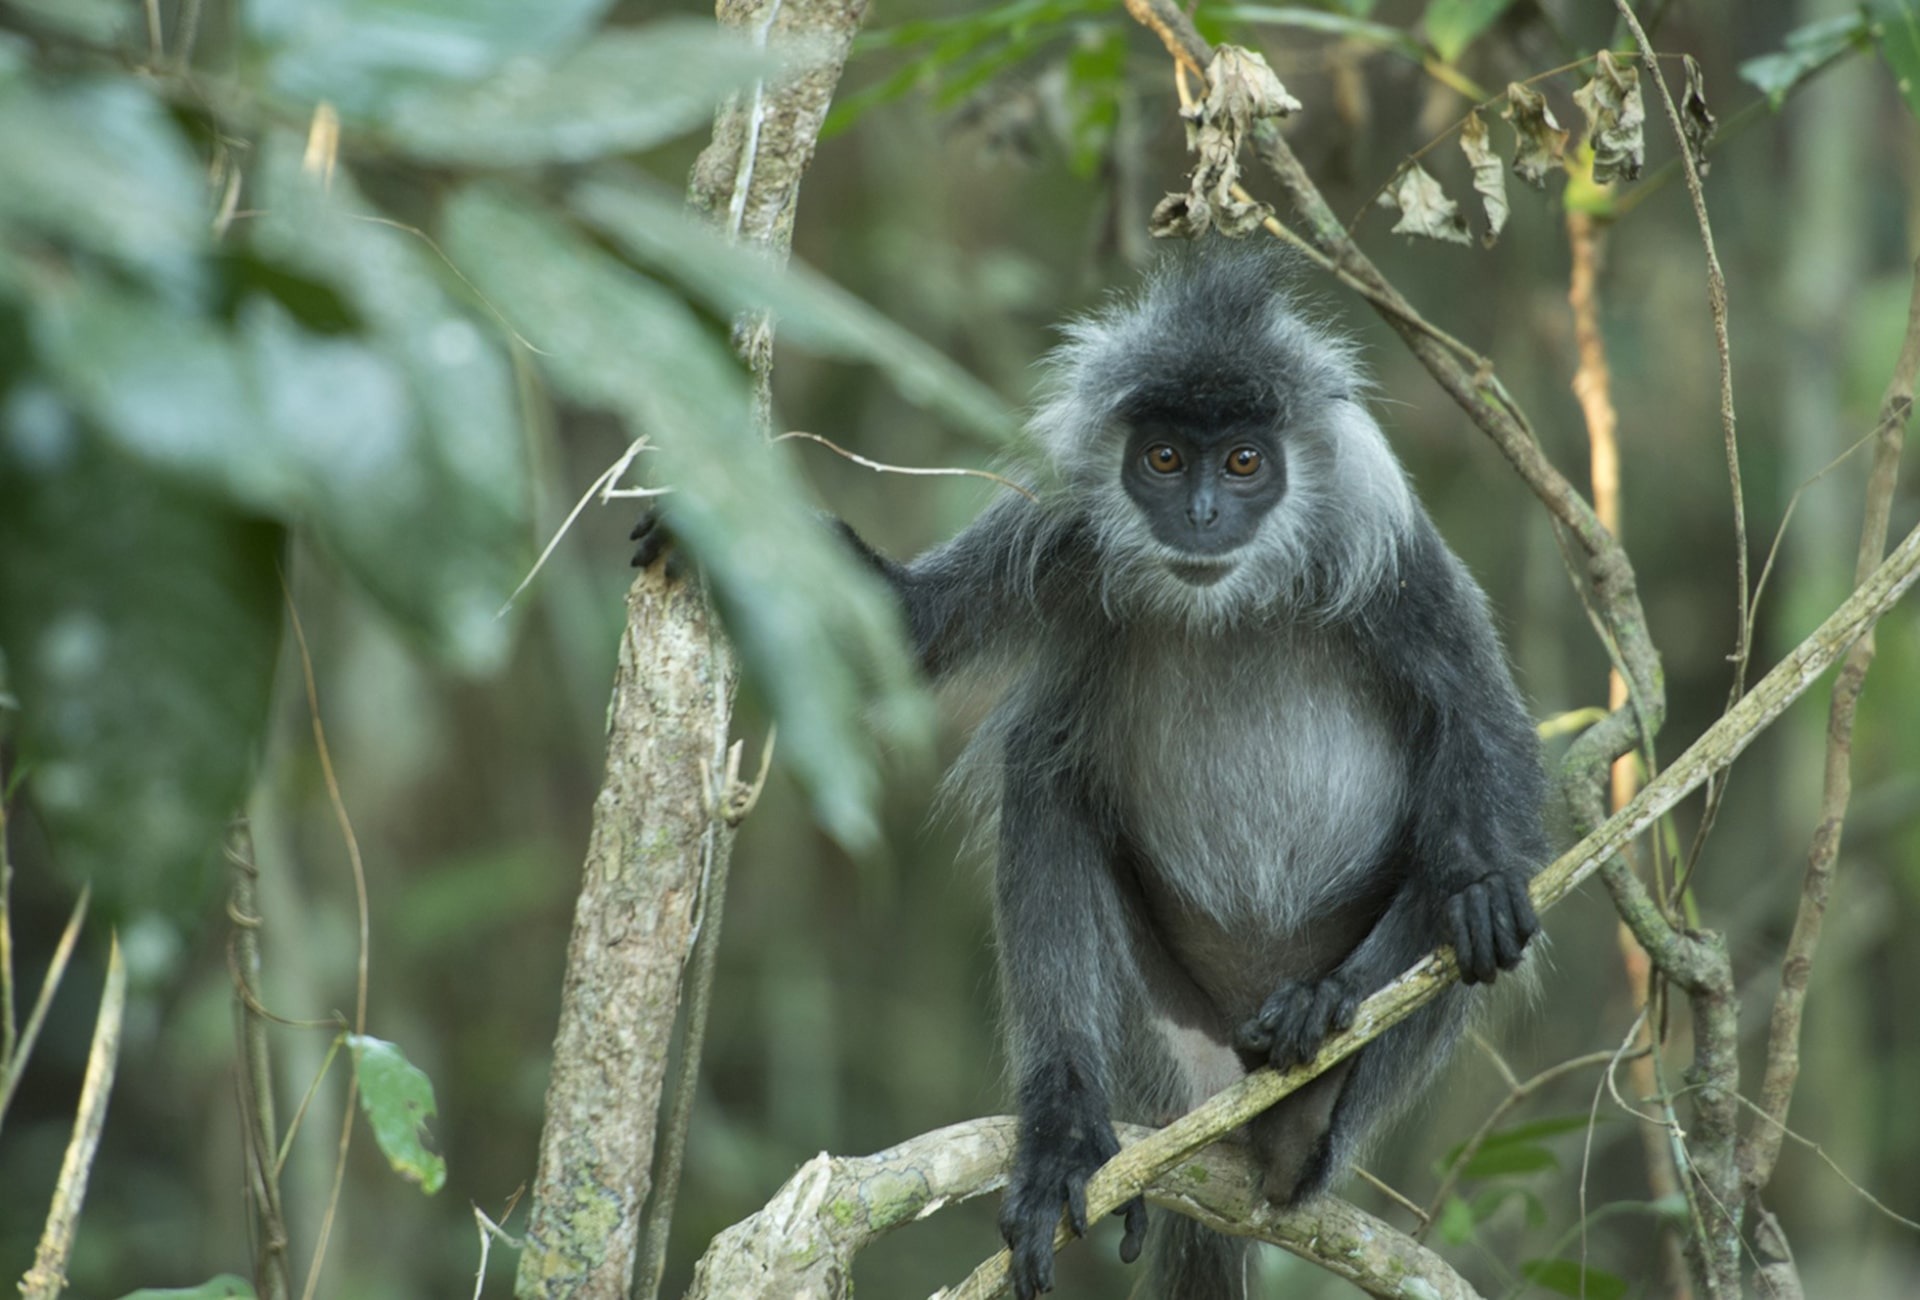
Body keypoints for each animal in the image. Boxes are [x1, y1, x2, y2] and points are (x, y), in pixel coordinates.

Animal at [629, 238, 1543, 1290]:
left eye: (1243, 460)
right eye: (1163, 457)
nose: (1201, 511)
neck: (1228, 599)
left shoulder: (1391, 555)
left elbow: (1484, 728)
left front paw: (1477, 891)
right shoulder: (1060, 531)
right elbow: (906, 631)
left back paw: (1322, 1026)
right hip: (1159, 1037)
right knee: (1045, 783)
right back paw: (1067, 1135)